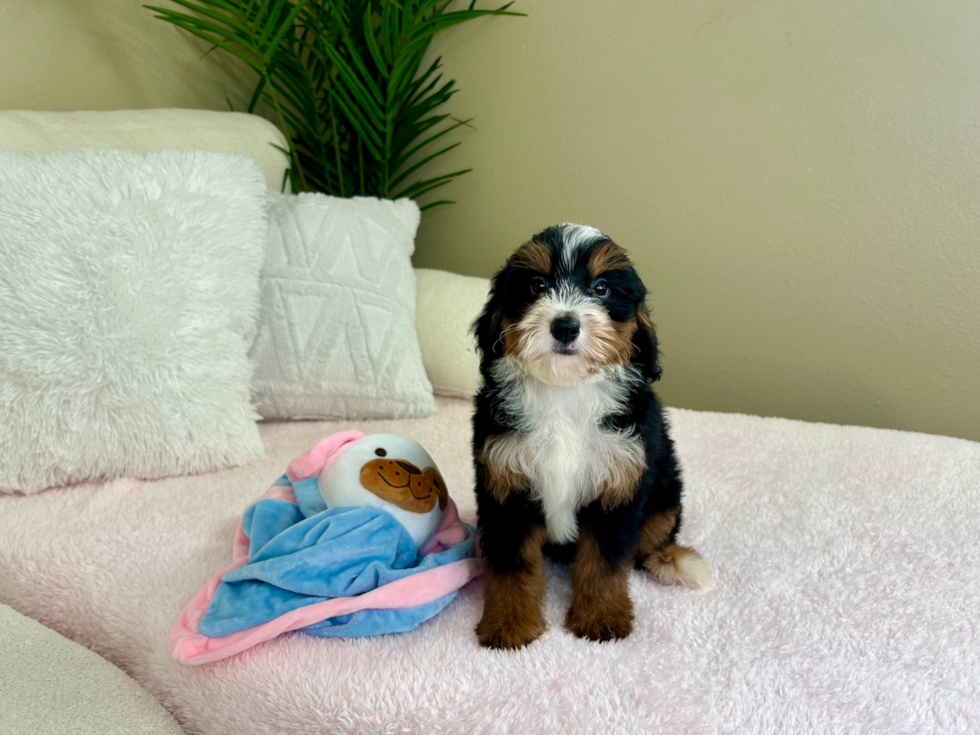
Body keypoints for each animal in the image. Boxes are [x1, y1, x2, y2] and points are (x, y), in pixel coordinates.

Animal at [470, 224, 708, 648]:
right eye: (536, 284)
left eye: (601, 288)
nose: (565, 326)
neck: (565, 390)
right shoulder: (504, 484)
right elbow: (510, 563)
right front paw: (509, 624)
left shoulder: (620, 482)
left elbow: (605, 561)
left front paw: (602, 617)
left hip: (665, 493)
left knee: (653, 541)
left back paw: (676, 562)